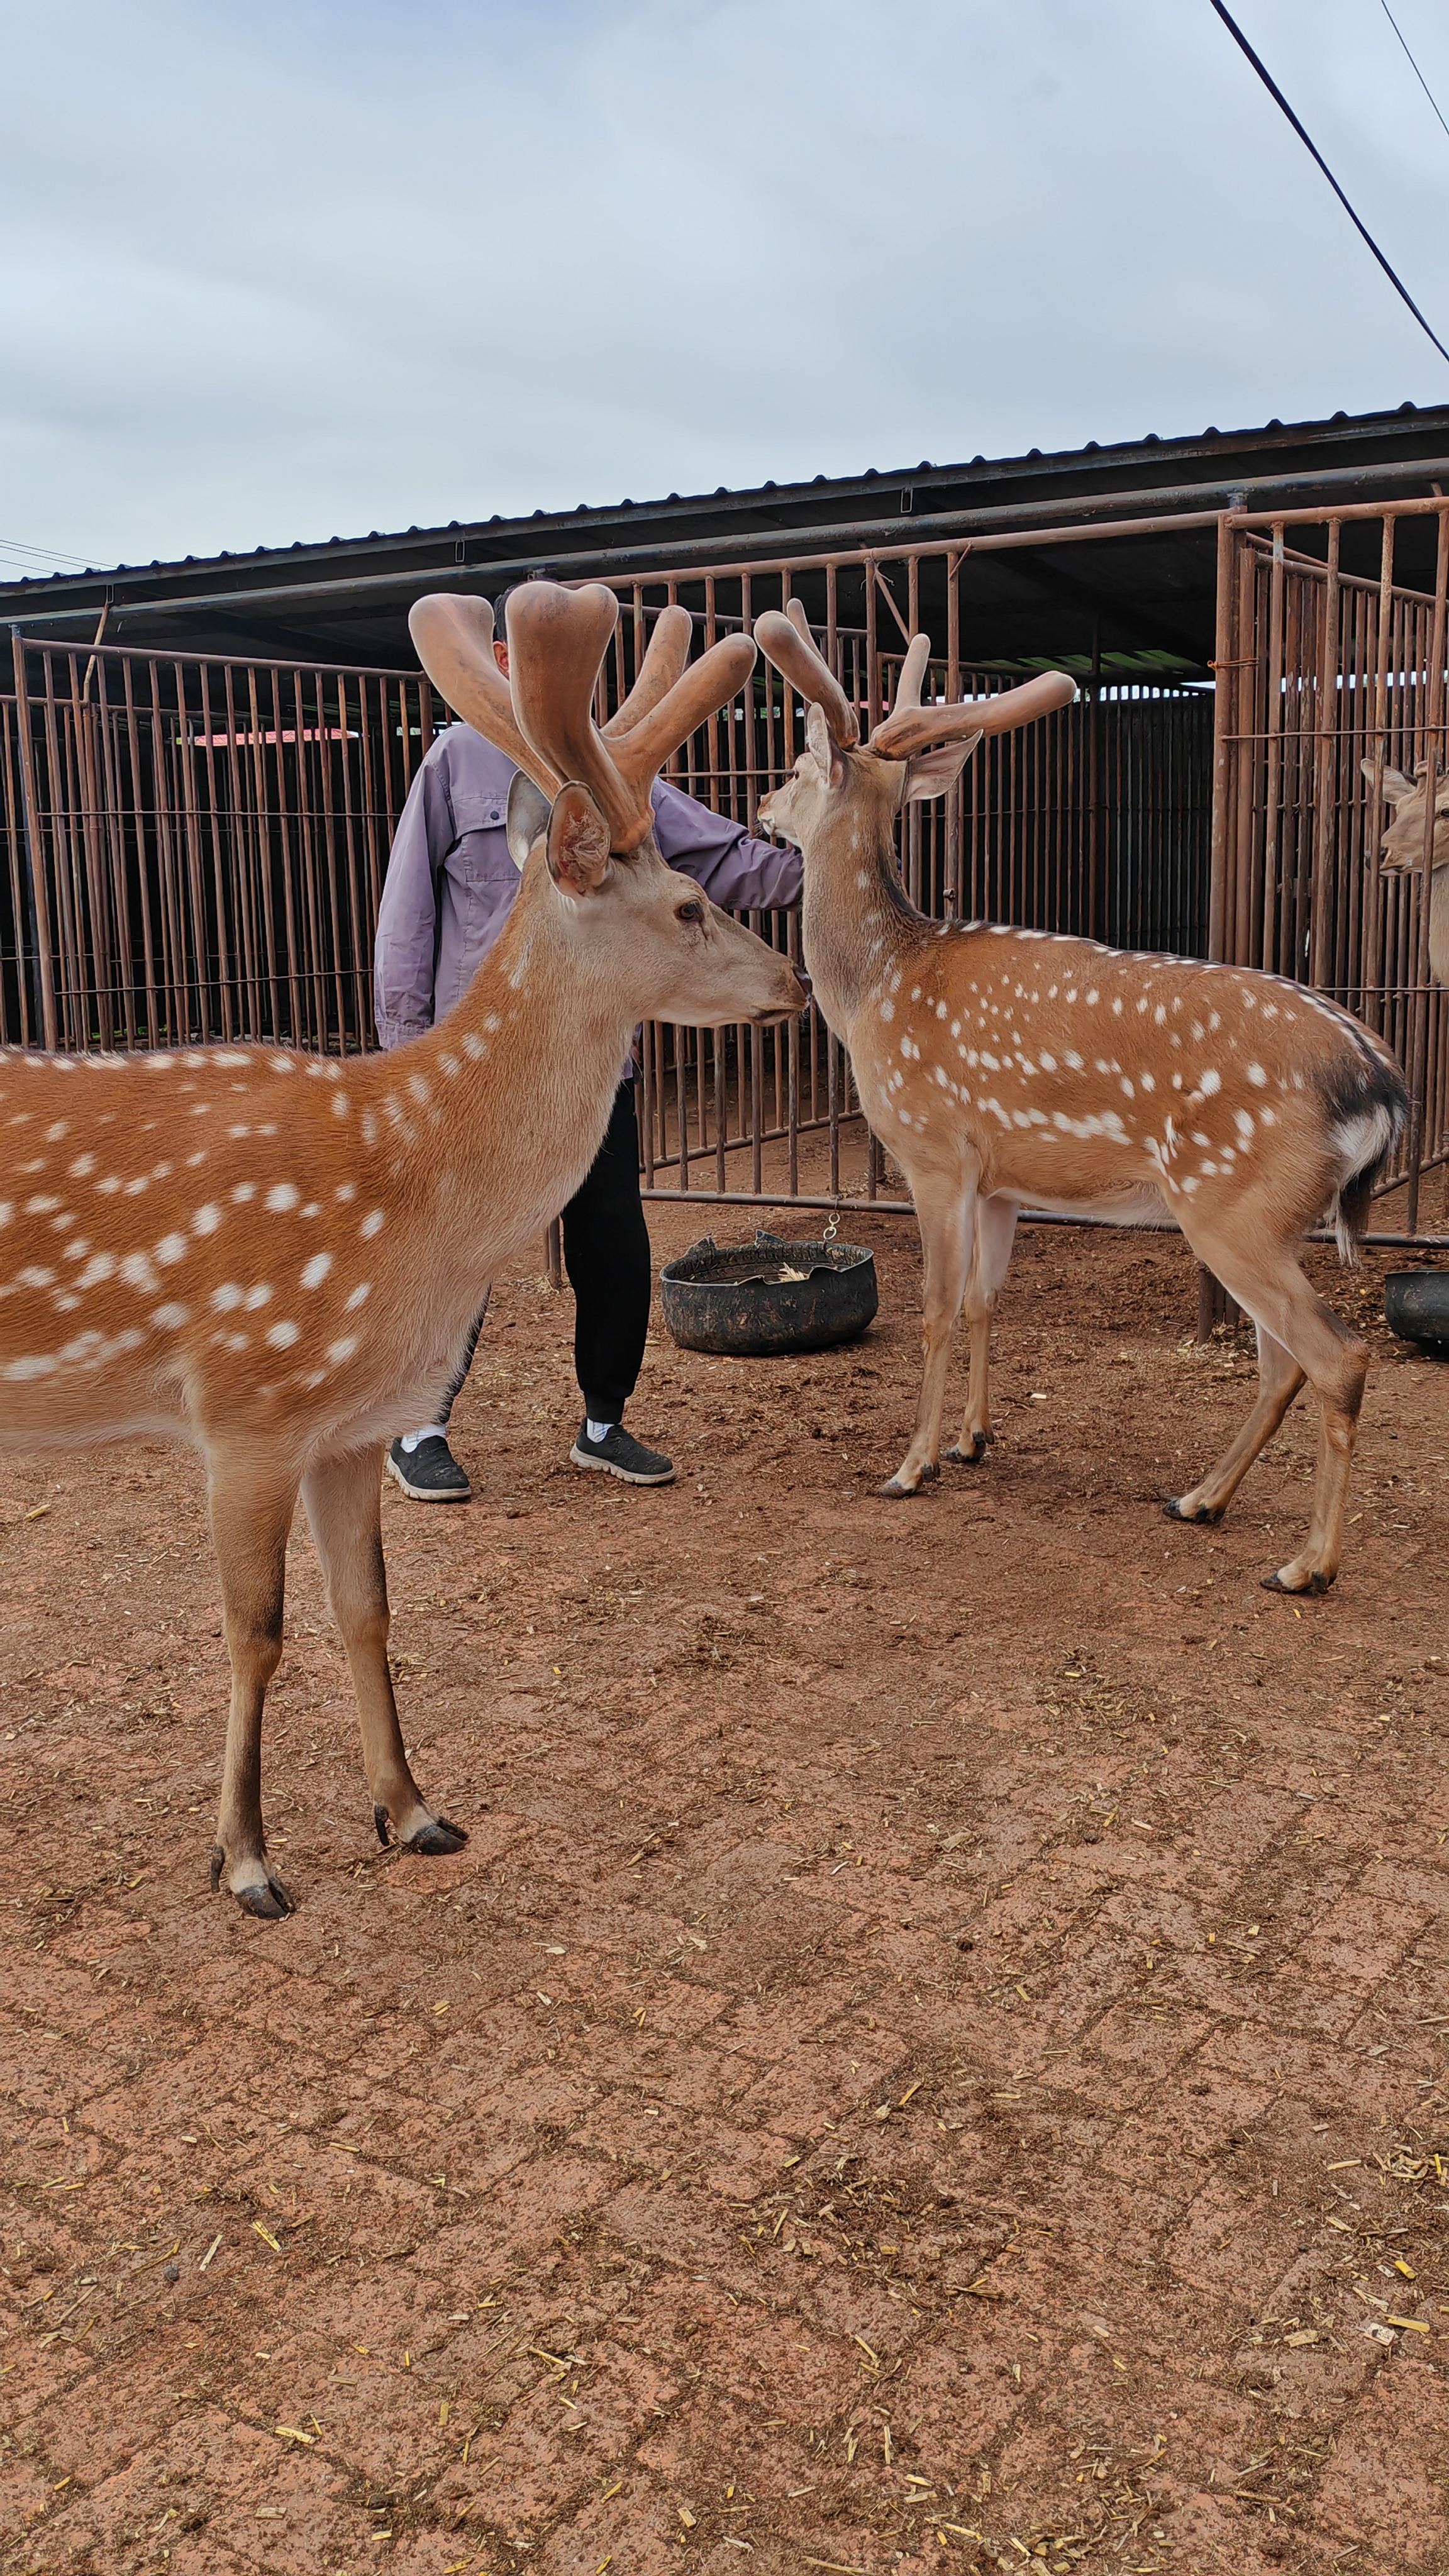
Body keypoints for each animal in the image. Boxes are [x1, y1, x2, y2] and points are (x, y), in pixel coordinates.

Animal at [0, 589, 799, 1916]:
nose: (791, 976)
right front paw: (246, 1861)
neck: (413, 1194)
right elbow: (256, 1629)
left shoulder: (349, 1422)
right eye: (687, 904)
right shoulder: (246, 1397)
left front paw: (413, 1811)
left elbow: (365, 1610)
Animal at [747, 605, 1402, 1597]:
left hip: (1233, 1205)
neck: (872, 990)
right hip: (1269, 1218)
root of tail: (1380, 1082)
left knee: (1337, 1355)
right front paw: (974, 1441)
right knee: (1281, 1364)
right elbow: (985, 1301)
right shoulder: (1000, 1179)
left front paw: (911, 1465)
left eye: (792, 767)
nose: (757, 808)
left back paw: (1305, 1565)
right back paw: (1199, 1499)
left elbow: (934, 1309)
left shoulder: (932, 1151)